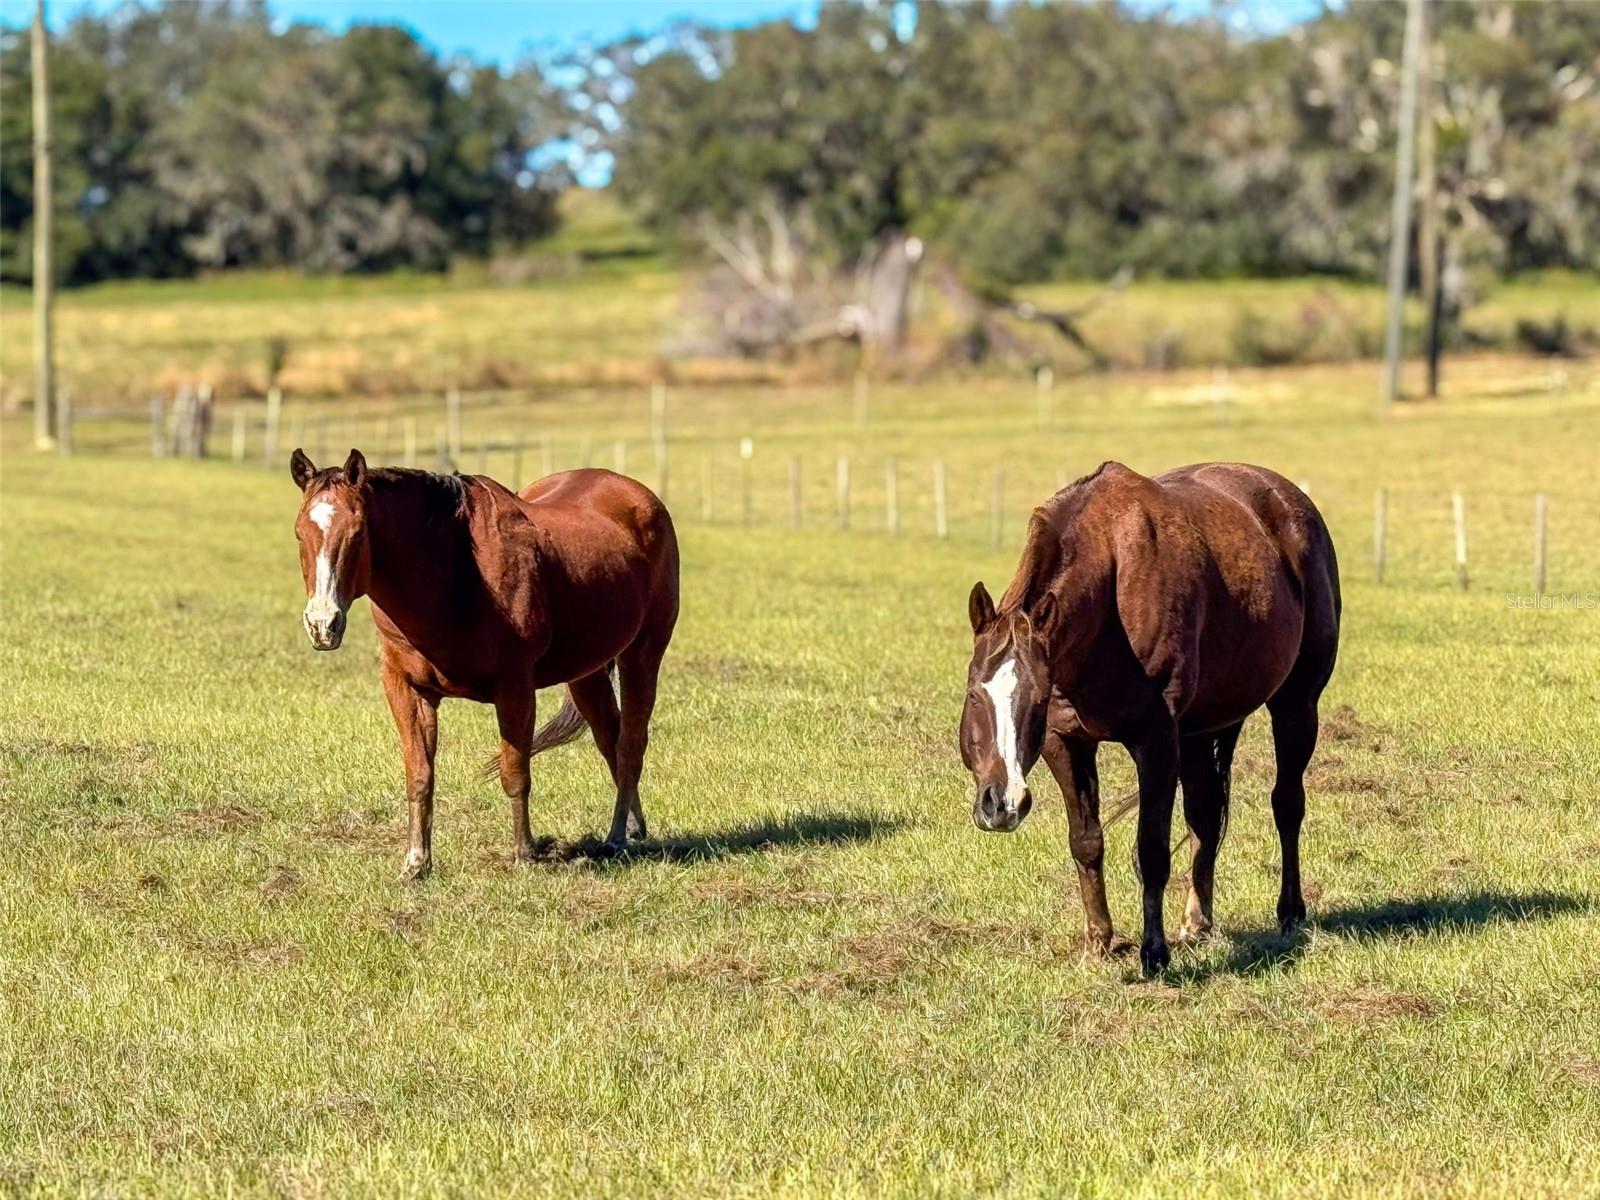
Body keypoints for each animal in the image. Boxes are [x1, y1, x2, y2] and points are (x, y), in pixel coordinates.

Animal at [291, 451, 678, 883]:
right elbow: (420, 775)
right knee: (609, 739)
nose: (322, 624)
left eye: (358, 534)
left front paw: (525, 853)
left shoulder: (515, 687)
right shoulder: (406, 688)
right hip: (587, 672)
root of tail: (639, 495)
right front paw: (416, 862)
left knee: (630, 743)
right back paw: (633, 826)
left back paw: (616, 837)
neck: (456, 574)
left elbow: (515, 773)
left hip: (643, 652)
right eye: (300, 535)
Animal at [953, 464, 1344, 979]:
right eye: (974, 693)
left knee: (1287, 804)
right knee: (1204, 814)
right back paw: (1197, 920)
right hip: (1203, 728)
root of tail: (1289, 500)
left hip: (1296, 706)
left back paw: (1290, 912)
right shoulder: (1065, 742)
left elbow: (1152, 850)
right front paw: (1098, 943)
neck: (1110, 595)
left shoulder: (1156, 742)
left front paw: (1154, 953)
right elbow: (1086, 841)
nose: (1002, 803)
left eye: (1034, 696)